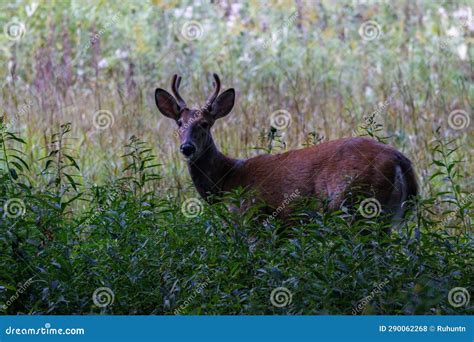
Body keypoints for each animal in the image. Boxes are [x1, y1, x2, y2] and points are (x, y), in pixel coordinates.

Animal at [156, 73, 418, 226]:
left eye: (205, 123)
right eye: (179, 123)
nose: (187, 147)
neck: (227, 179)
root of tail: (400, 161)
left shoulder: (253, 218)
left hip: (356, 204)